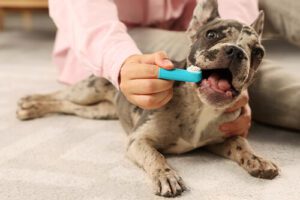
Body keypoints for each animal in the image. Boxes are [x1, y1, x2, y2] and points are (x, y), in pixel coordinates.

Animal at [15, 0, 278, 197]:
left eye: (258, 52)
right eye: (211, 34)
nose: (236, 51)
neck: (199, 106)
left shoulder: (222, 138)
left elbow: (242, 144)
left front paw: (258, 159)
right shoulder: (139, 140)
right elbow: (156, 155)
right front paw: (166, 176)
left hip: (97, 111)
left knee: (67, 106)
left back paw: (32, 107)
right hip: (88, 90)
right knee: (60, 95)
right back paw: (30, 102)